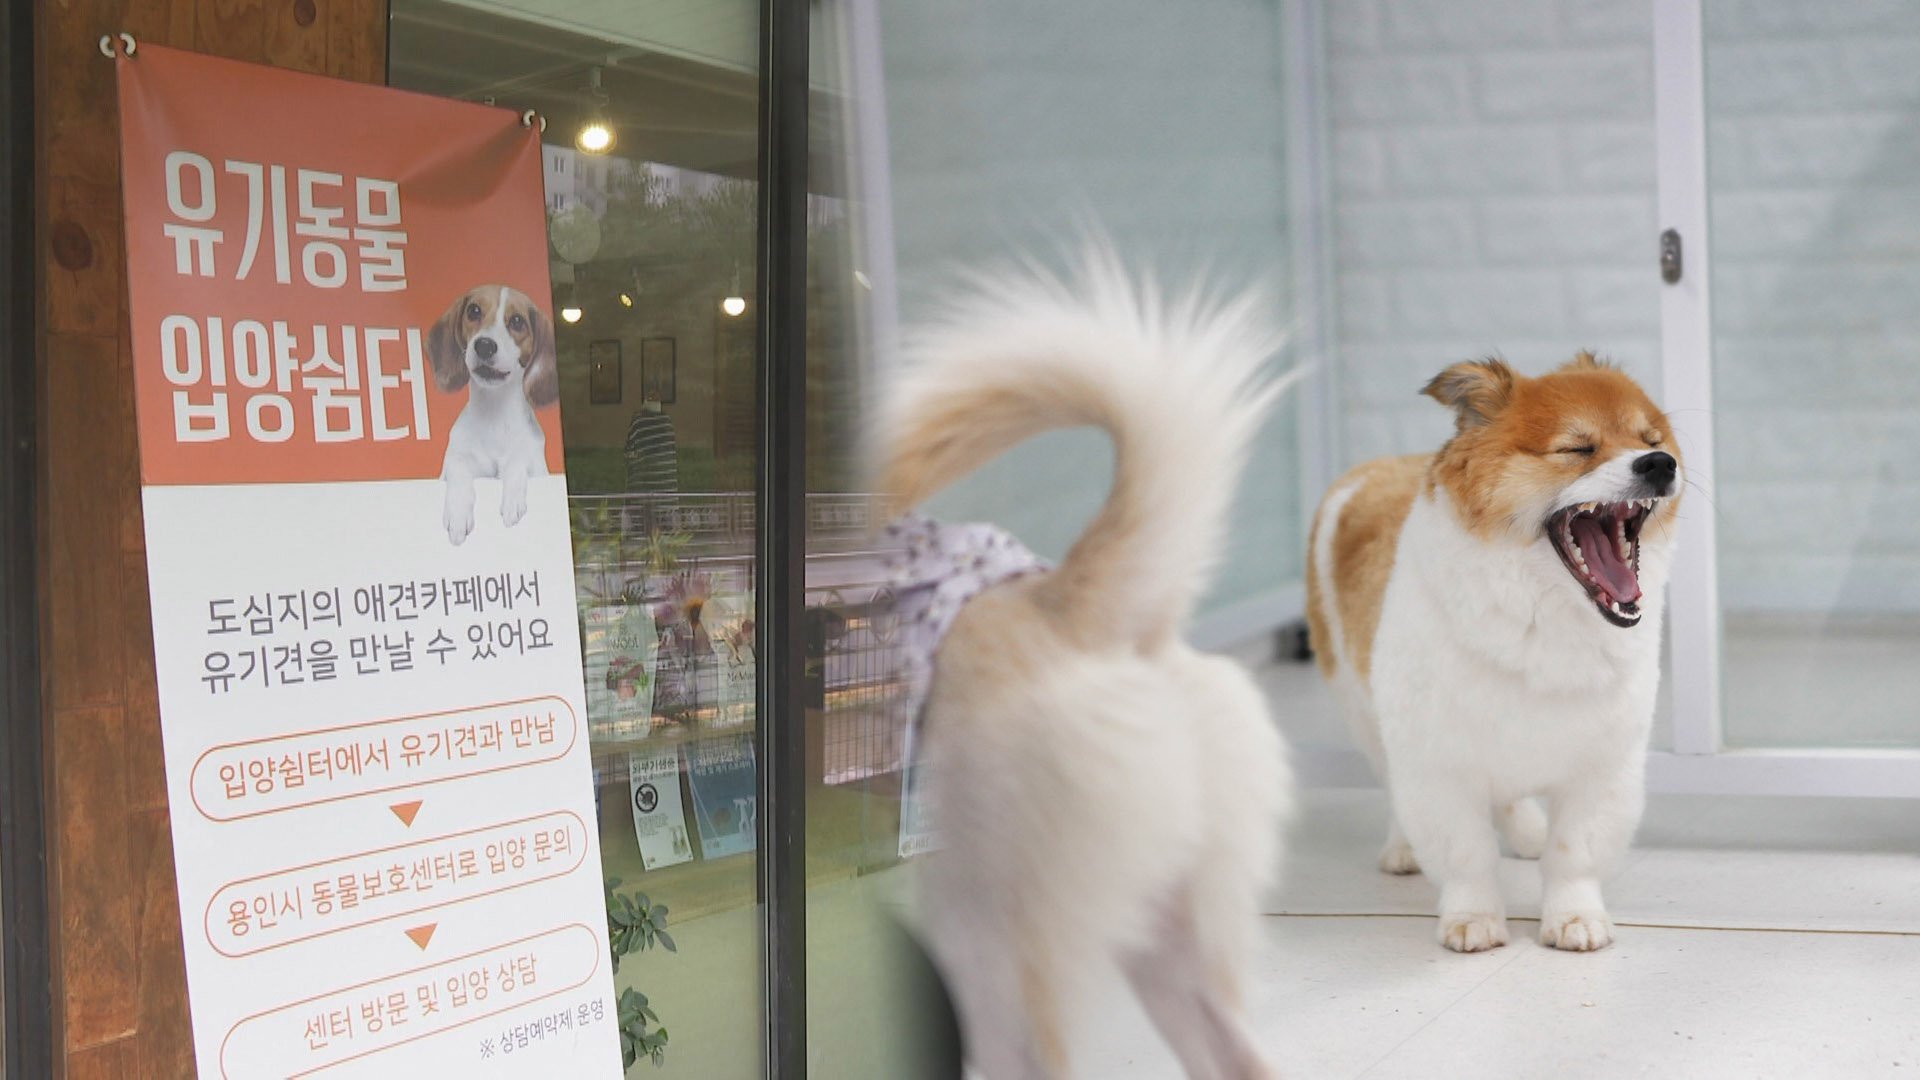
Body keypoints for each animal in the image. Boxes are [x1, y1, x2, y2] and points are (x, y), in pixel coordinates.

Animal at [1305, 353, 1681, 949]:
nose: (1659, 464)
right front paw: (1472, 918)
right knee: (1393, 784)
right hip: (1363, 709)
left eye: (1652, 439)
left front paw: (1573, 916)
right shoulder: (1437, 761)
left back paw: (1527, 831)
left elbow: (1573, 853)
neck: (1540, 618)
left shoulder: (1602, 763)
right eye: (1577, 448)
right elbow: (1466, 853)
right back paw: (1403, 847)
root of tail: (1370, 468)